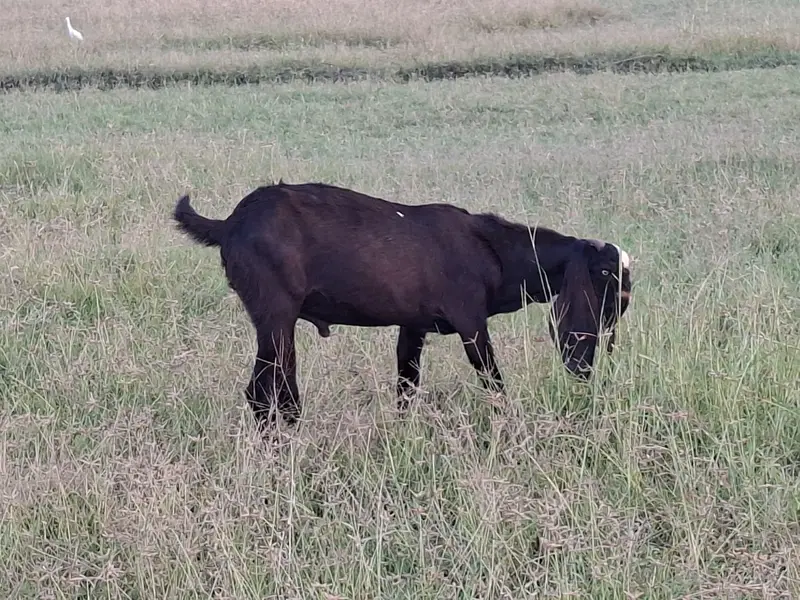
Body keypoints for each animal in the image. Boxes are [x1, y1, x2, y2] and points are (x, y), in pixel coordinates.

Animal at [173, 181, 632, 428]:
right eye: (605, 274)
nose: (589, 365)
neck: (493, 249)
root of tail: (230, 224)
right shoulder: (471, 324)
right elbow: (494, 383)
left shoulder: (413, 328)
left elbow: (406, 388)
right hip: (276, 316)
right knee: (265, 392)